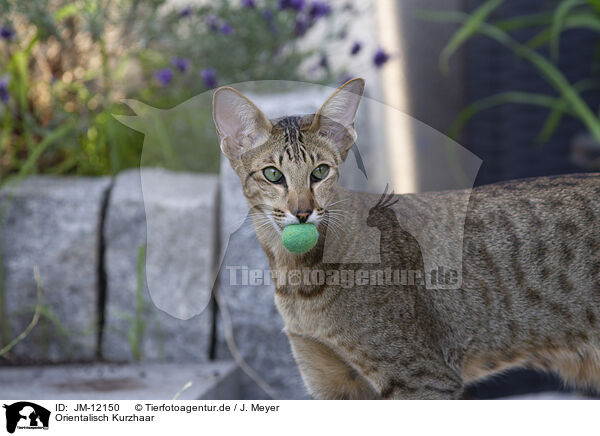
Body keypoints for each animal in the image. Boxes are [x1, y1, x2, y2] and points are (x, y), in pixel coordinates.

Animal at [212, 77, 600, 398]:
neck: (297, 278)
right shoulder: (328, 382)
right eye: (272, 175)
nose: (303, 211)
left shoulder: (423, 377)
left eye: (319, 172)